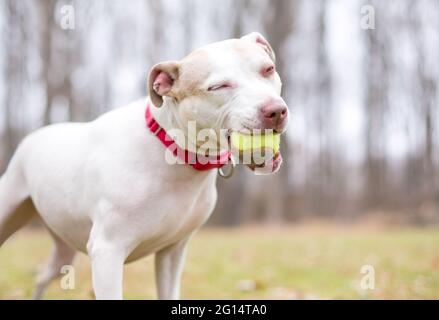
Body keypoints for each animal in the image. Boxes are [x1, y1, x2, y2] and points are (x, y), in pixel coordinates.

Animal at [0, 31, 290, 298]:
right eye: (219, 87)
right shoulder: (107, 252)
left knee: (44, 275)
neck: (171, 150)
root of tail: (35, 135)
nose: (274, 110)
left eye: (268, 69)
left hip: (63, 246)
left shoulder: (172, 252)